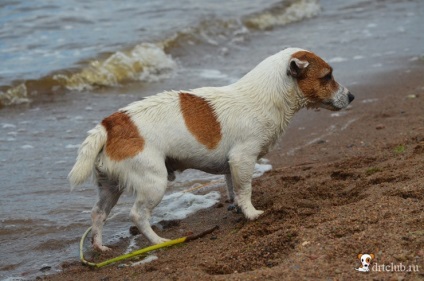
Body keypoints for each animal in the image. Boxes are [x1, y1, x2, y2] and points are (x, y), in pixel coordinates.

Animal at [69, 47, 354, 250]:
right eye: (327, 77)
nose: (352, 96)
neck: (266, 96)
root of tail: (111, 124)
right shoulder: (242, 159)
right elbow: (244, 190)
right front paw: (251, 213)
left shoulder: (231, 165)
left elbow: (233, 189)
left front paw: (237, 208)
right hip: (153, 181)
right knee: (137, 215)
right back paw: (158, 241)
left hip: (110, 186)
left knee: (98, 214)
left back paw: (99, 247)